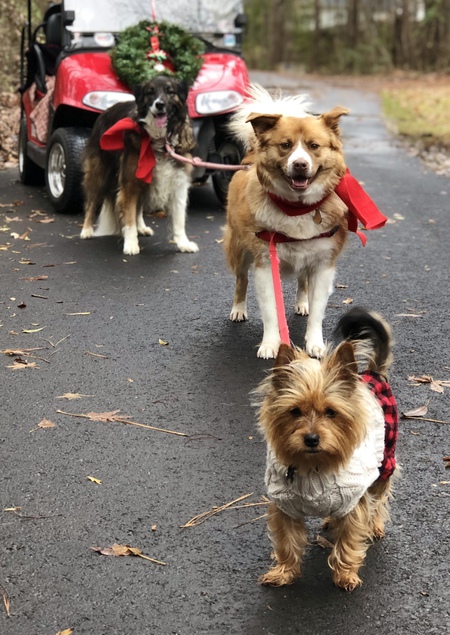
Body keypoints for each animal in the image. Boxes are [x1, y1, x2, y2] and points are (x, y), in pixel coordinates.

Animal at [80, 78, 199, 258]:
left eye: (170, 91)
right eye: (151, 92)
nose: (160, 104)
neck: (159, 141)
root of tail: (105, 111)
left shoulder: (178, 183)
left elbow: (179, 220)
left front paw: (183, 244)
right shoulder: (130, 182)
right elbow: (128, 216)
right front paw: (131, 243)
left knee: (138, 207)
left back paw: (141, 227)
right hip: (99, 172)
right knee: (92, 201)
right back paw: (86, 230)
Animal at [223, 85, 350, 360]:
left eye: (314, 146)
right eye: (285, 145)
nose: (300, 165)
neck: (297, 208)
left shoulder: (323, 264)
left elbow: (317, 310)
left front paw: (315, 343)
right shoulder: (265, 262)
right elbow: (271, 310)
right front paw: (271, 344)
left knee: (303, 282)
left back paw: (302, 303)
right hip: (238, 249)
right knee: (240, 280)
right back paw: (238, 308)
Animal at [255, 308, 400, 592]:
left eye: (331, 412)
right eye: (294, 411)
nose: (311, 438)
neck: (314, 466)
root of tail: (373, 374)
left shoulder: (355, 501)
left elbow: (350, 540)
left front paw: (345, 575)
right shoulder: (285, 508)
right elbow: (286, 542)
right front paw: (283, 572)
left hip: (384, 461)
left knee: (379, 497)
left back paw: (375, 525)